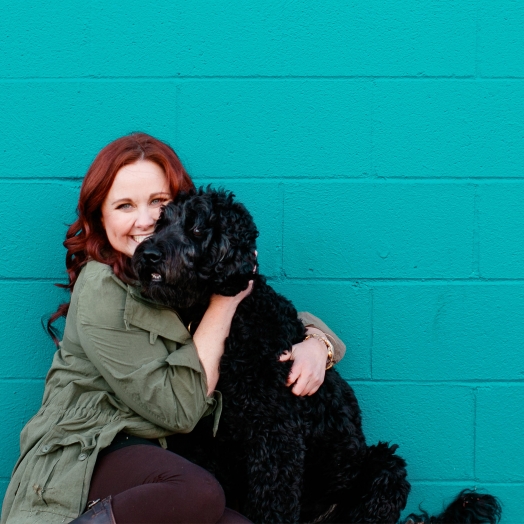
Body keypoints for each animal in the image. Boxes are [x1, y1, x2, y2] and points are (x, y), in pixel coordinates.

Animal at [132, 186, 410, 523]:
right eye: (160, 224)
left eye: (197, 228)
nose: (148, 254)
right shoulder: (205, 439)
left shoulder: (276, 430)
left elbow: (273, 500)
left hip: (384, 467)